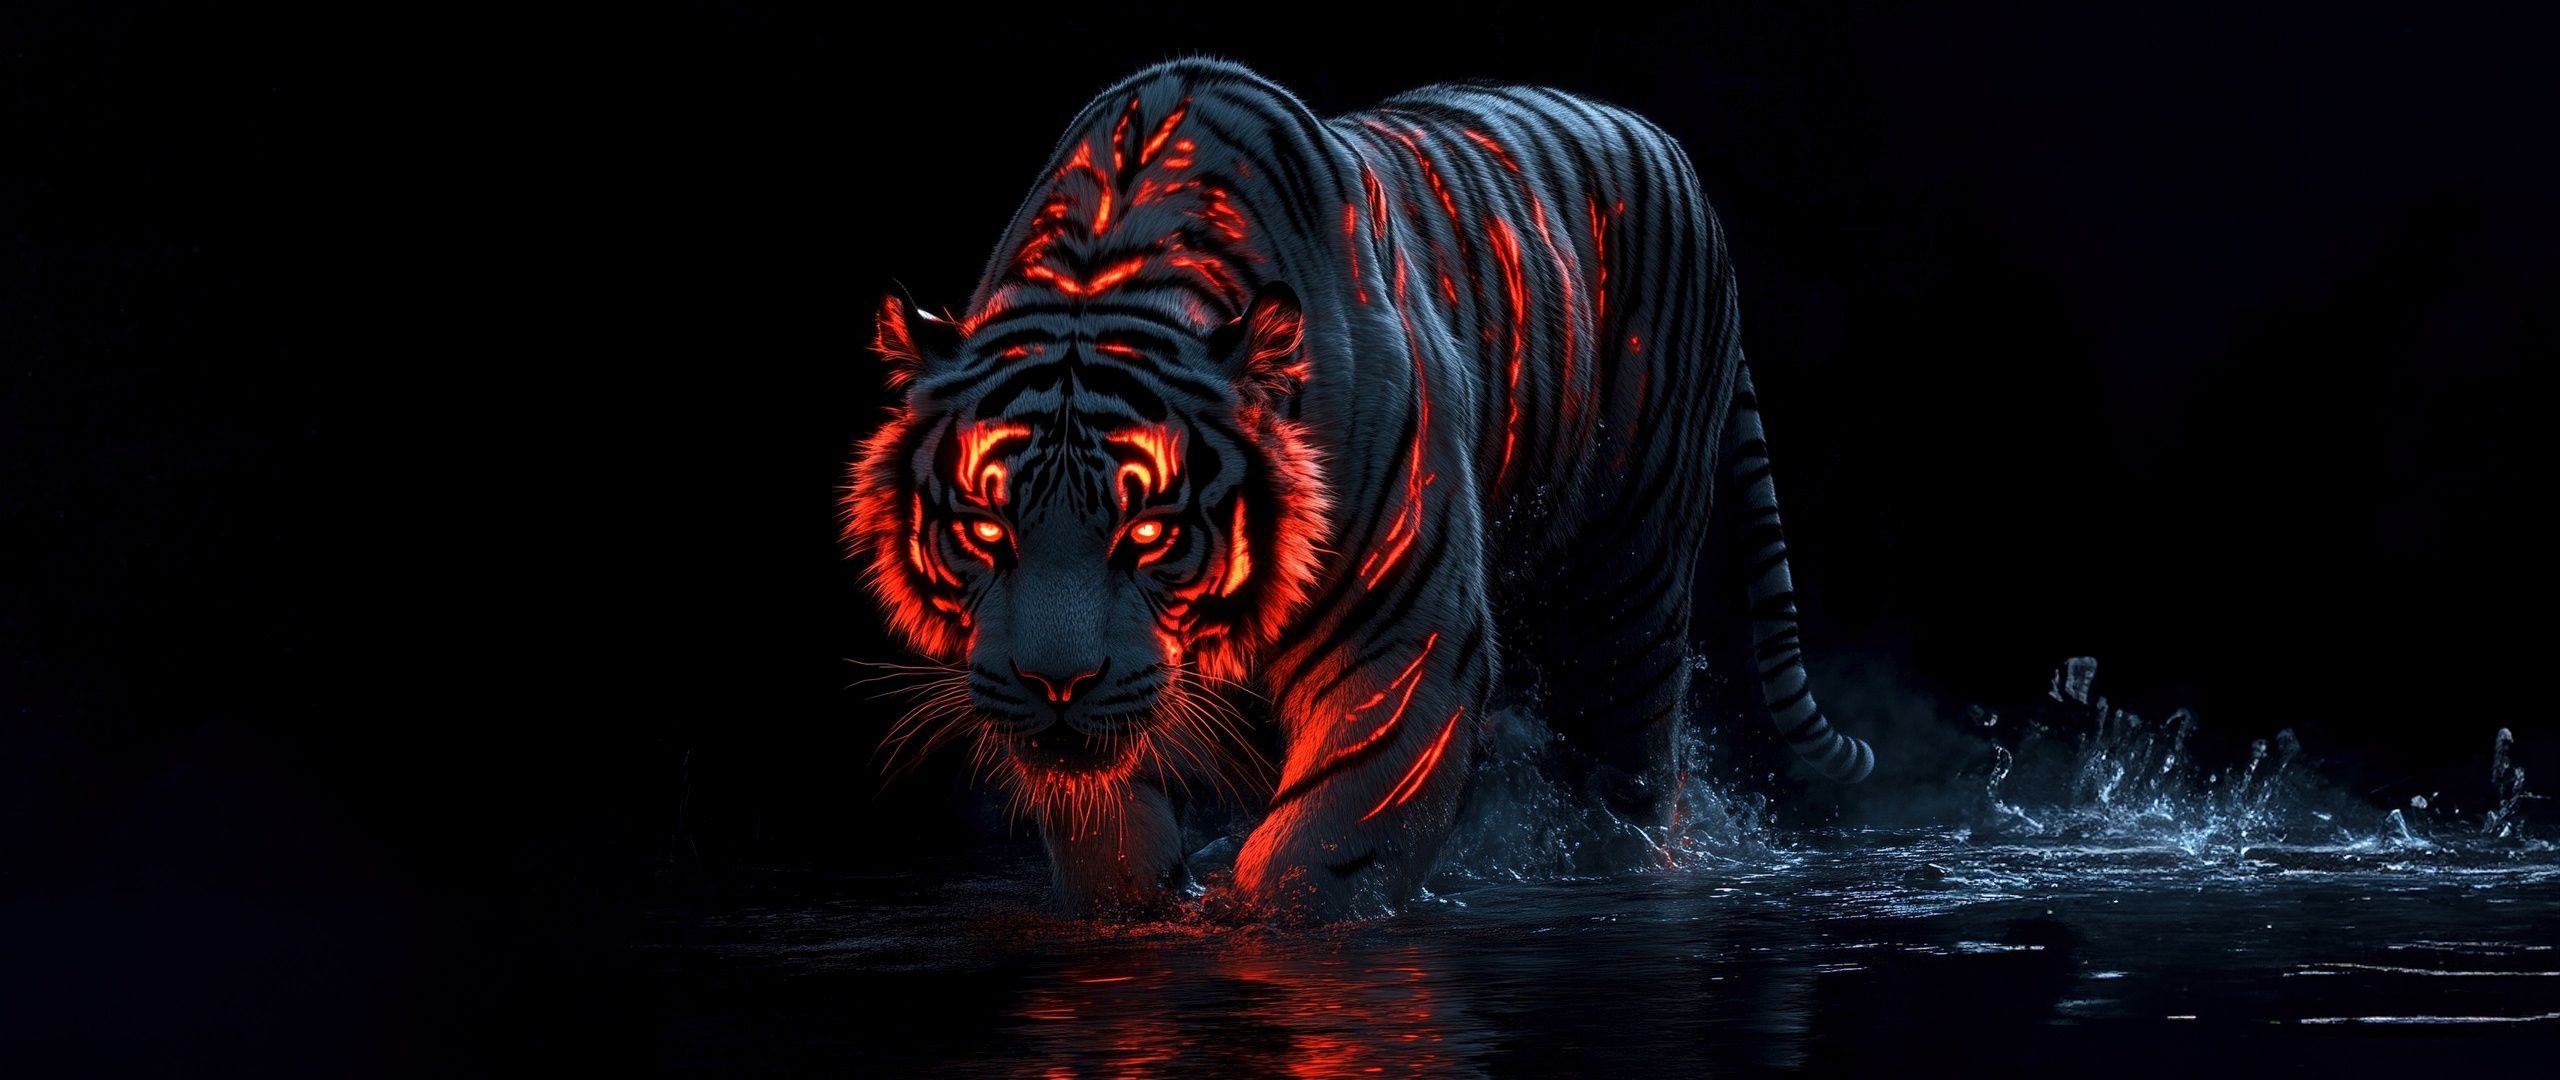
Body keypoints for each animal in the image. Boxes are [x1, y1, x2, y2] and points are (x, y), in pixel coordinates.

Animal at [845, 57, 1875, 922]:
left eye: (1146, 534)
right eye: (987, 529)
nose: (1055, 684)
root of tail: (1667, 147)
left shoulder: (1405, 635)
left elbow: (1329, 846)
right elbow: (1107, 830)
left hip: (1628, 588)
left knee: (1628, 777)